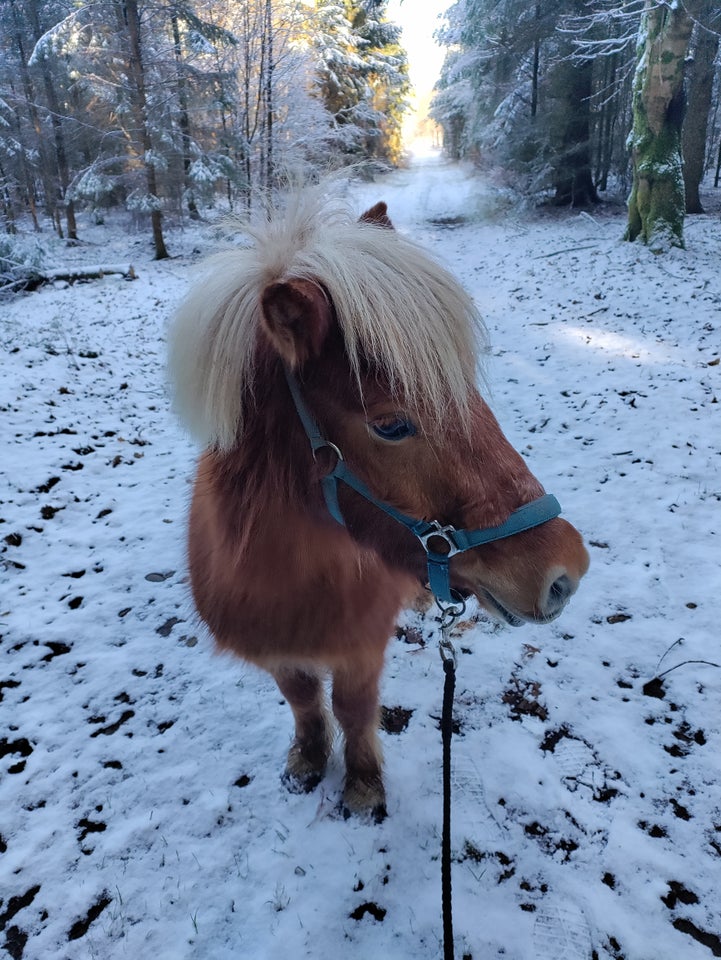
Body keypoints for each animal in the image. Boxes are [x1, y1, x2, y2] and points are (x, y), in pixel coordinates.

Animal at [169, 193, 584, 816]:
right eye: (391, 425)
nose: (566, 571)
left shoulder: (360, 648)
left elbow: (352, 708)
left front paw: (362, 785)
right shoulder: (275, 651)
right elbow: (302, 698)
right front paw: (308, 759)